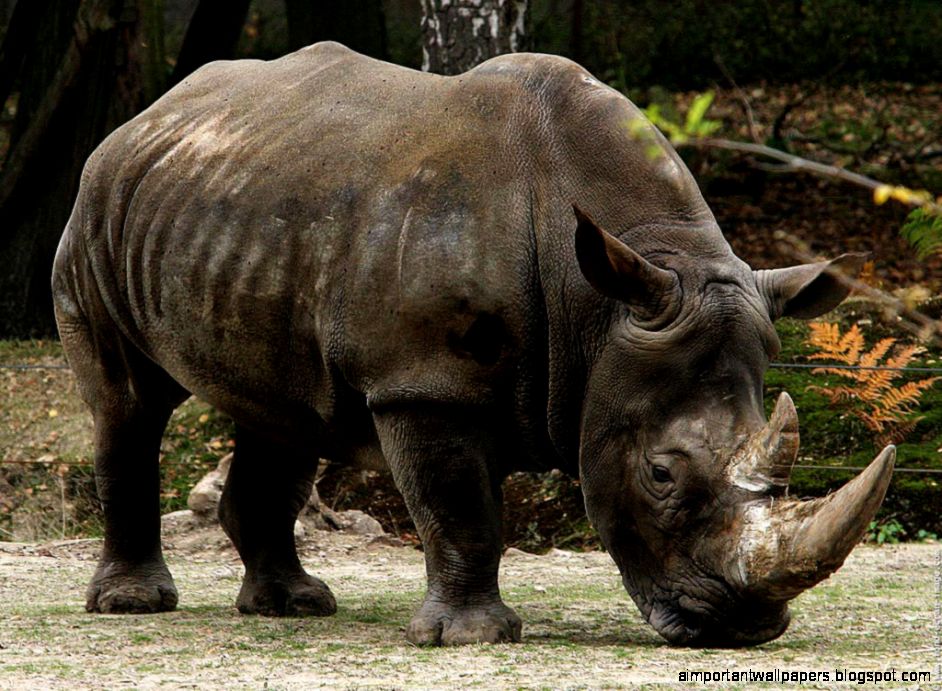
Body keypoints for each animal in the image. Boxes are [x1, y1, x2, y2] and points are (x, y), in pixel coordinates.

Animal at [52, 42, 894, 647]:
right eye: (660, 473)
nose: (743, 628)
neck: (603, 304)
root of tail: (148, 115)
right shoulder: (423, 380)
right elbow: (460, 508)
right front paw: (471, 637)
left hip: (240, 207)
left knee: (287, 413)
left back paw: (295, 607)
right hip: (97, 207)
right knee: (129, 403)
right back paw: (132, 604)